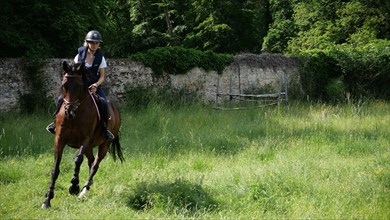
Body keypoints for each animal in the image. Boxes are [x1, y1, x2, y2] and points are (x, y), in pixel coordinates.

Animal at [41, 61, 123, 209]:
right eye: (64, 85)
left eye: (79, 86)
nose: (69, 112)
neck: (76, 116)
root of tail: (116, 109)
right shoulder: (59, 140)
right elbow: (55, 168)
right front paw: (47, 199)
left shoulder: (85, 140)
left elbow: (78, 159)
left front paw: (74, 186)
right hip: (90, 147)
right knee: (91, 161)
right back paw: (88, 186)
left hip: (104, 145)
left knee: (95, 165)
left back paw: (83, 191)